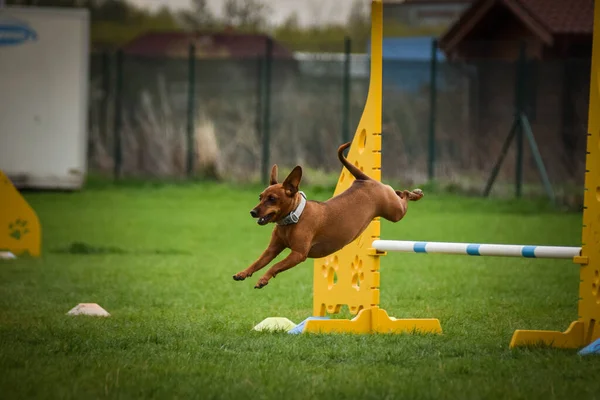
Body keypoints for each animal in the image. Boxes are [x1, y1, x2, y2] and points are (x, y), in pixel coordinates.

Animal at [232, 142, 424, 290]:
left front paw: (263, 279)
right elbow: (259, 261)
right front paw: (243, 273)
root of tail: (363, 180)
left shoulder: (298, 254)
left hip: (395, 212)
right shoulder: (272, 249)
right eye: (260, 197)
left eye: (272, 199)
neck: (294, 218)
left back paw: (415, 193)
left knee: (404, 195)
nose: (253, 212)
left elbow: (275, 265)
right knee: (399, 192)